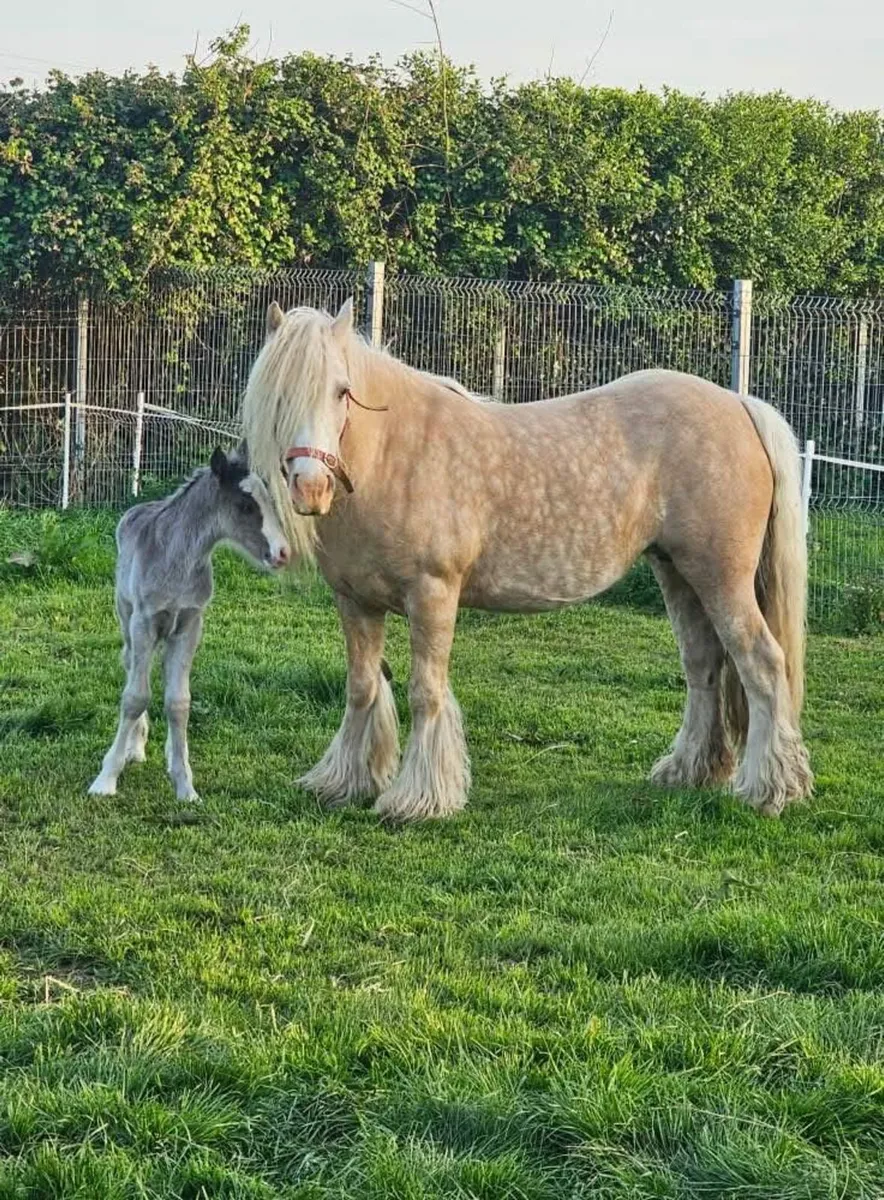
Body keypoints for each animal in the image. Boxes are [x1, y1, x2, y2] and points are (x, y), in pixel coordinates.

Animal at [89, 444, 291, 802]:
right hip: (127, 617)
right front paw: (106, 778)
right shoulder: (144, 622)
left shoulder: (189, 625)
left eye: (269, 500)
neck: (178, 560)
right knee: (130, 664)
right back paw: (133, 748)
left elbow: (178, 702)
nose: (282, 553)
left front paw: (184, 784)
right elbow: (135, 696)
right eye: (245, 505)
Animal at [241, 298, 812, 821]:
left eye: (341, 391)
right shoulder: (355, 601)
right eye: (278, 397)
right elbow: (362, 687)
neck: (394, 456)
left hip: (722, 579)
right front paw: (344, 783)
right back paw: (687, 771)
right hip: (677, 573)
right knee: (702, 666)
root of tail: (740, 406)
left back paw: (770, 790)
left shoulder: (433, 593)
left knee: (763, 663)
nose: (310, 488)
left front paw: (419, 800)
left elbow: (426, 692)